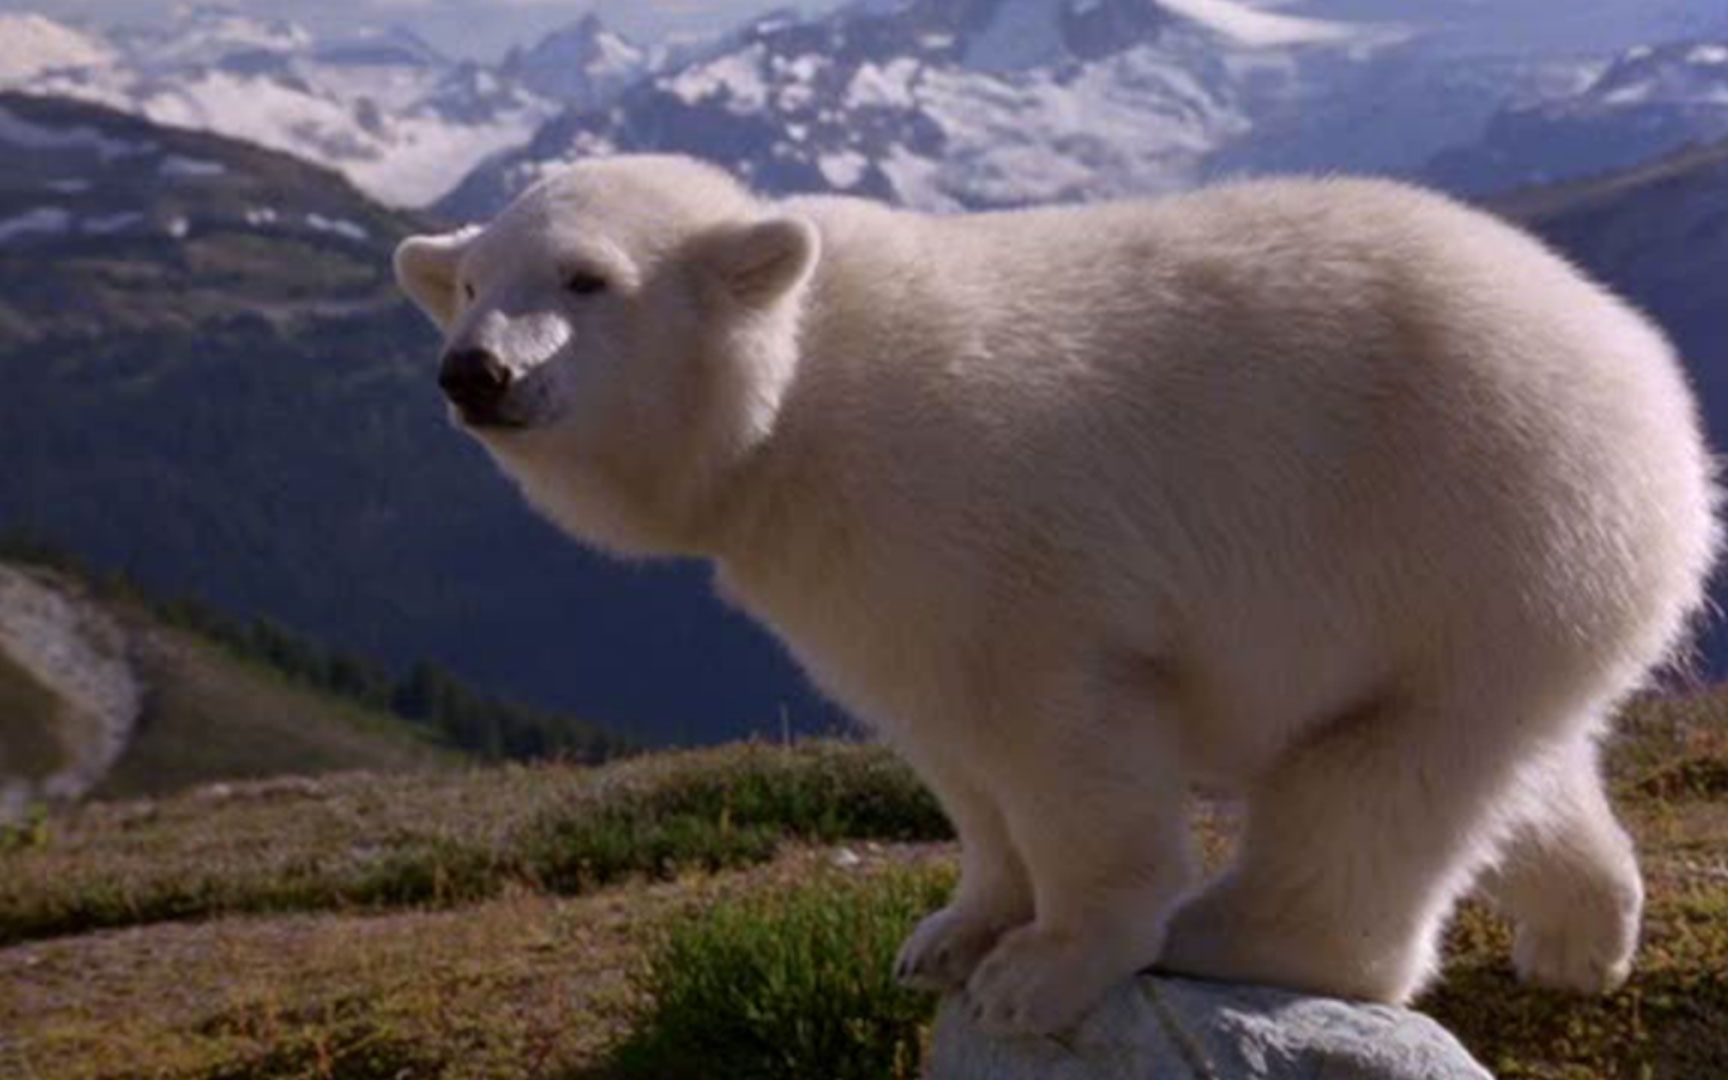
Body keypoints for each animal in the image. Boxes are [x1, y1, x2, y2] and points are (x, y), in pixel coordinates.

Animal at [400, 155, 1714, 1029]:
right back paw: (1581, 934)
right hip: (1520, 582)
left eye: (586, 280)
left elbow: (1054, 739)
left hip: (1468, 526)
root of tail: (1654, 389)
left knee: (1383, 773)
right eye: (469, 283)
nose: (474, 373)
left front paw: (1043, 969)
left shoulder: (986, 534)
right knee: (1506, 758)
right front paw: (949, 933)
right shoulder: (851, 577)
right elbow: (950, 748)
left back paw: (1240, 934)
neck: (805, 398)